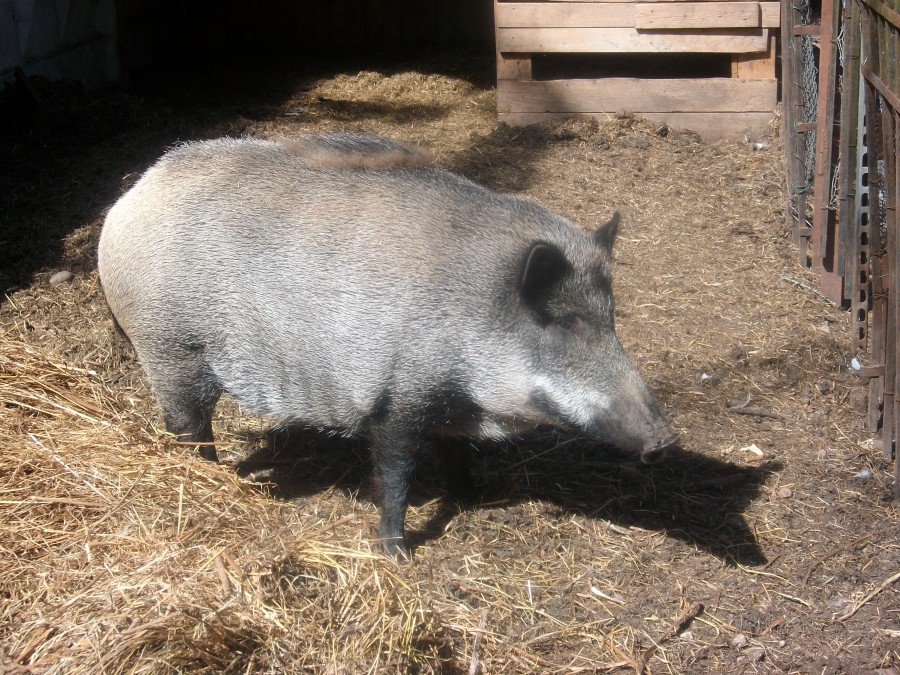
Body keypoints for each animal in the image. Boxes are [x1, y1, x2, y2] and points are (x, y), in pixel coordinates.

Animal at [98, 133, 676, 560]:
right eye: (565, 322)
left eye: (611, 318)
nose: (667, 441)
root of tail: (126, 203)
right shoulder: (397, 396)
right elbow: (396, 473)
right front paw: (398, 555)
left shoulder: (450, 405)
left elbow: (456, 452)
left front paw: (476, 496)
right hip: (171, 349)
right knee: (187, 428)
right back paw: (210, 478)